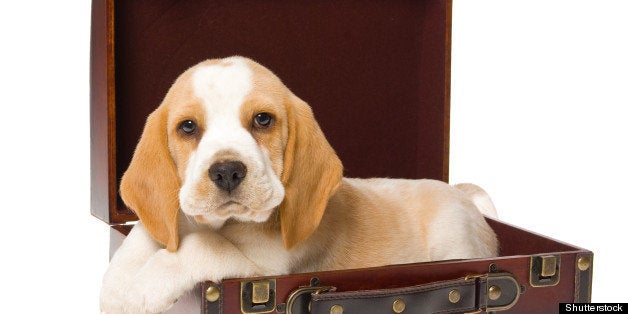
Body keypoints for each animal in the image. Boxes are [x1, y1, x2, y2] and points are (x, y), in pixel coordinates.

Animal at [100, 55, 498, 312]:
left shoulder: (263, 267)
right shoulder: (170, 221)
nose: (227, 171)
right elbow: (141, 238)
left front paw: (144, 289)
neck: (223, 223)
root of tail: (458, 192)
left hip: (452, 238)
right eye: (187, 127)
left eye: (263, 120)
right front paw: (116, 292)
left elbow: (202, 248)